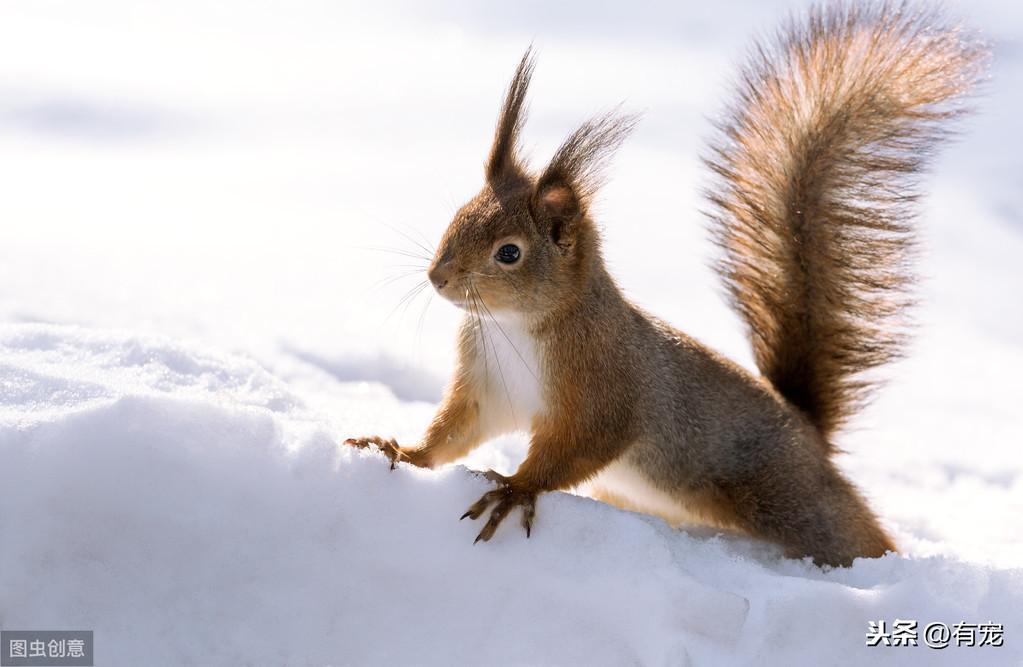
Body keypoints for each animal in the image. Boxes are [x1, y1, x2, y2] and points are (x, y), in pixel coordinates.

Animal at [347, 2, 986, 564]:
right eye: (456, 216)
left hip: (787, 497)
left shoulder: (606, 388)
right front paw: (399, 451)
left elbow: (578, 449)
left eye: (509, 253)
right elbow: (455, 431)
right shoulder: (488, 385)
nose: (437, 276)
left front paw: (515, 489)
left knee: (851, 534)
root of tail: (807, 428)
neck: (515, 326)